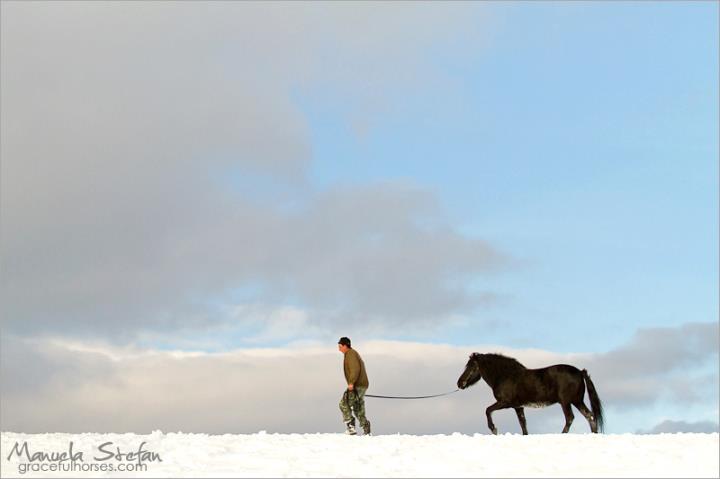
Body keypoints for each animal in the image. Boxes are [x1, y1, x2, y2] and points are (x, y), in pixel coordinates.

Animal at [458, 352, 604, 436]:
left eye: (470, 366)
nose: (459, 383)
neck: (505, 376)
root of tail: (580, 372)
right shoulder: (518, 407)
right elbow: (523, 424)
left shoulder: (504, 403)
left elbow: (488, 410)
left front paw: (494, 429)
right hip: (577, 401)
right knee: (590, 415)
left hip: (566, 402)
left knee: (570, 418)